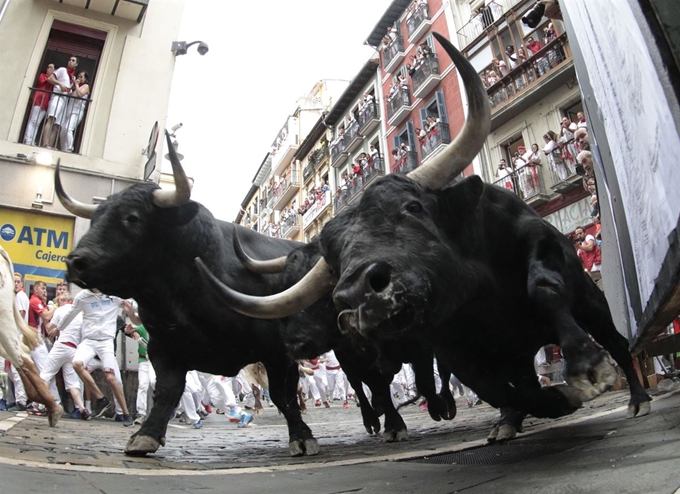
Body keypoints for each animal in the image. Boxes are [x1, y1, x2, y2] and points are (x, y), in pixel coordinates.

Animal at [203, 32, 652, 438]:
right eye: (333, 260)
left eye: (413, 208)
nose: (359, 296)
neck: (483, 293)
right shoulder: (444, 349)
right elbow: (490, 386)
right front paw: (541, 403)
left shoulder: (536, 245)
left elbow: (543, 288)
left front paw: (583, 369)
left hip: (592, 301)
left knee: (616, 340)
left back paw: (637, 398)